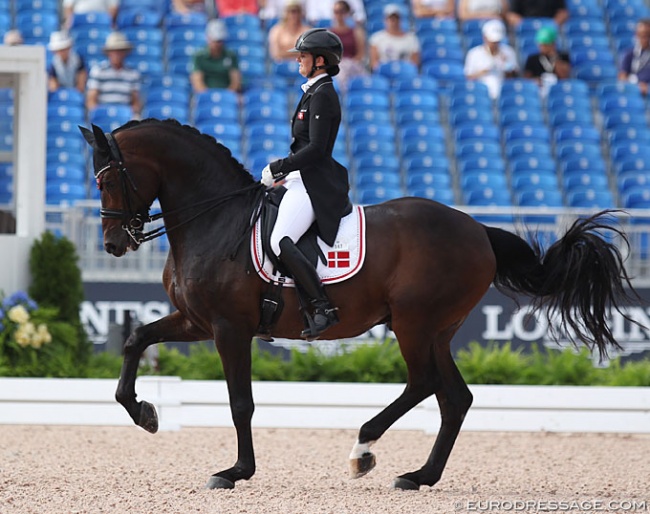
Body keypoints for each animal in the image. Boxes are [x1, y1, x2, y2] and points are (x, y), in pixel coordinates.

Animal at [78, 118, 636, 490]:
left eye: (108, 178)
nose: (113, 244)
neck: (215, 220)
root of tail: (478, 229)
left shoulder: (229, 328)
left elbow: (240, 403)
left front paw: (235, 472)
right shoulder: (197, 321)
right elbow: (135, 339)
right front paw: (144, 413)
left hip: (414, 323)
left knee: (424, 384)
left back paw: (363, 450)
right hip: (438, 329)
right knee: (454, 397)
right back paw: (420, 476)